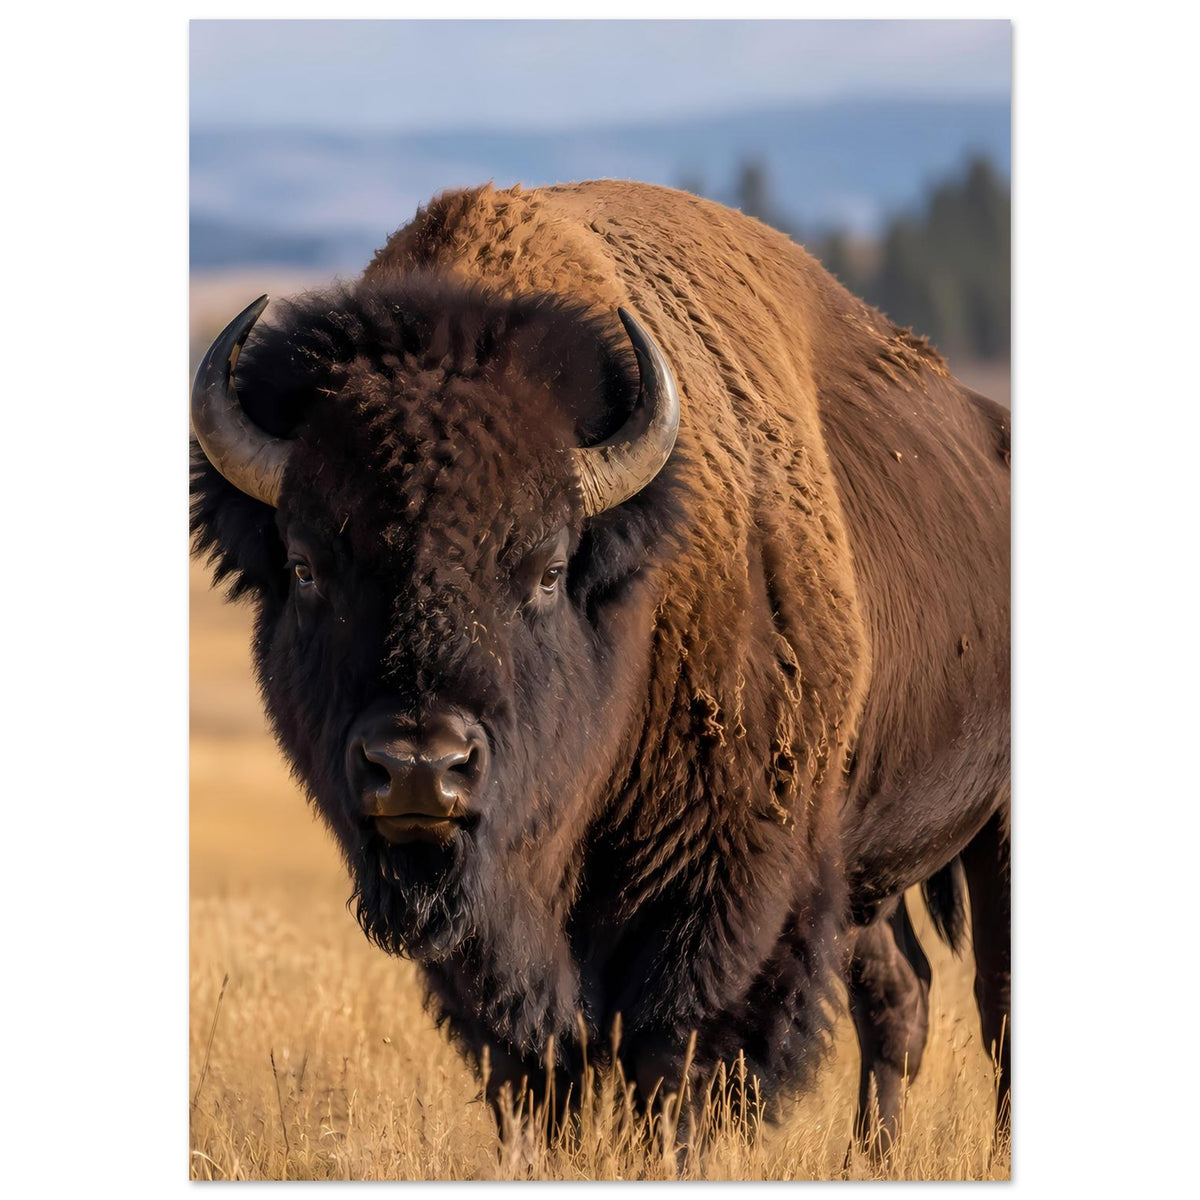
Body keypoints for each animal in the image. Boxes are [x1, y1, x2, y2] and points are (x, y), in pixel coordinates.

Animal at [191, 180, 1010, 1153]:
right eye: (307, 566)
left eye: (546, 568)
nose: (421, 768)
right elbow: (537, 1068)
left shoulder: (720, 892)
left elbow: (675, 1060)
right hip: (863, 861)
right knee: (899, 992)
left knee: (994, 999)